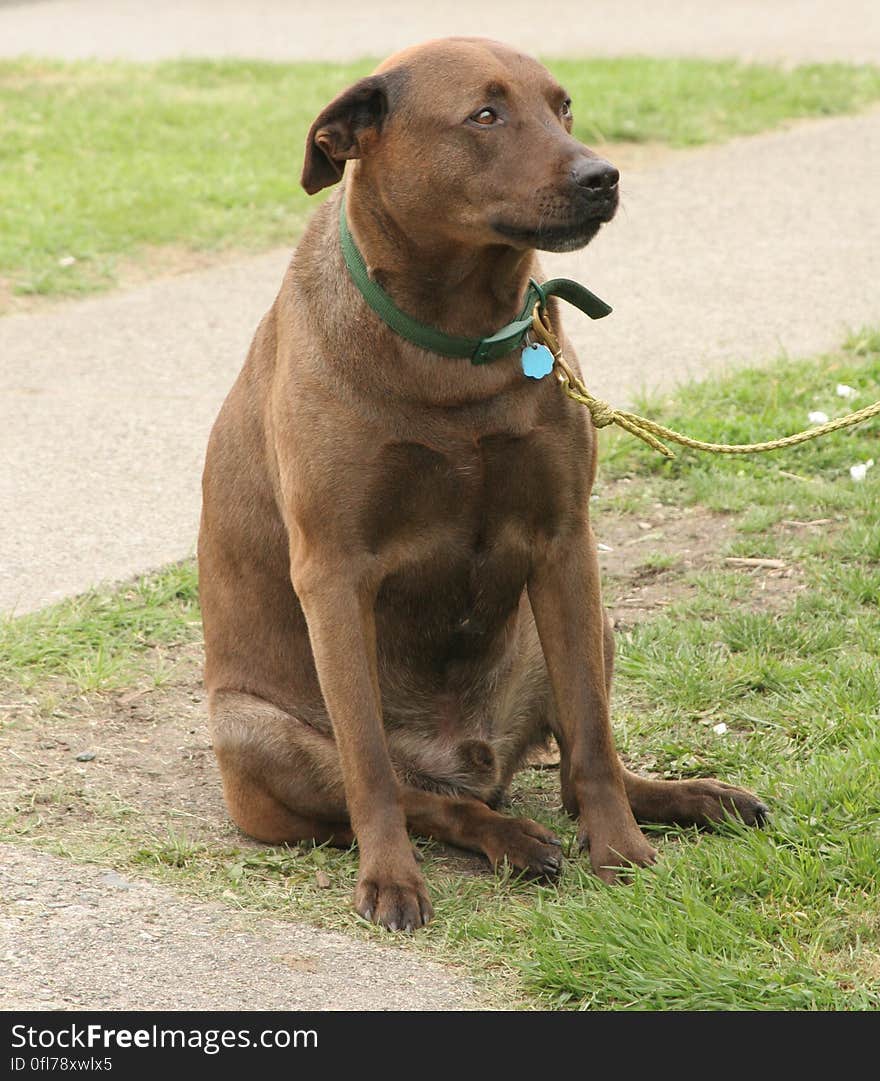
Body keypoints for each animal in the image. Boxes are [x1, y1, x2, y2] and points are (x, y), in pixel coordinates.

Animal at [197, 33, 765, 929]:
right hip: (255, 732)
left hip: (590, 621)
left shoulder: (567, 541)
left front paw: (623, 852)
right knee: (418, 795)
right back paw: (506, 837)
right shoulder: (333, 573)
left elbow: (593, 738)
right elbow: (369, 770)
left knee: (572, 771)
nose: (603, 175)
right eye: (485, 115)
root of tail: (473, 758)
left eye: (563, 106)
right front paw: (390, 877)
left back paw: (682, 799)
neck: (455, 340)